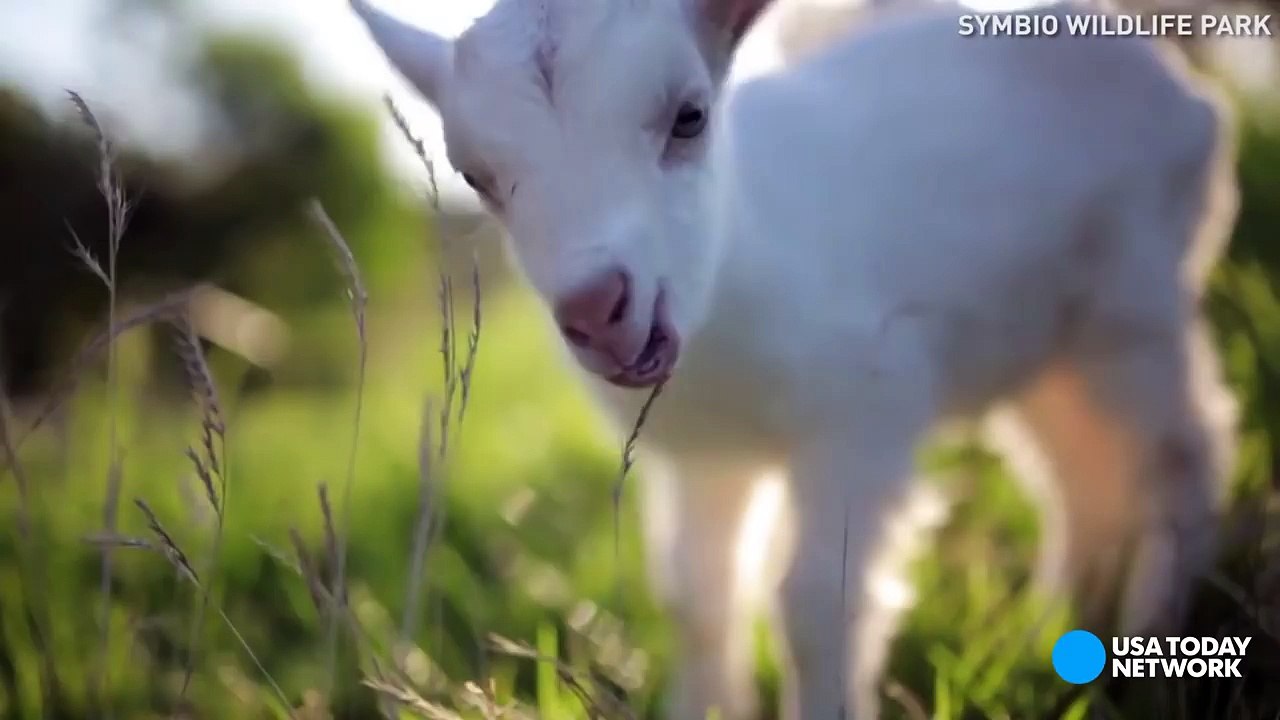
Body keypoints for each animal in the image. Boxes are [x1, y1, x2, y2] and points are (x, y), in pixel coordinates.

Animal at [351, 0, 1240, 717]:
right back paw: (1053, 628)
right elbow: (699, 602)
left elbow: (816, 602)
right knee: (1077, 473)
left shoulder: (867, 403)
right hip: (1037, 334)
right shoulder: (705, 458)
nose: (598, 312)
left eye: (689, 117)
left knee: (1182, 449)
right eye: (474, 175)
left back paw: (1154, 628)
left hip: (1136, 293)